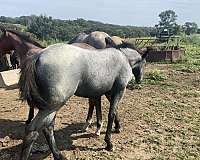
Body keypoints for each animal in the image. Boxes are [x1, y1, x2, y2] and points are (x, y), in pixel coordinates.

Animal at [18, 42, 147, 159]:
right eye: (144, 63)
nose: (140, 79)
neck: (123, 57)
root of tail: (39, 55)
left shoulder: (107, 92)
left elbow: (111, 111)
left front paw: (117, 127)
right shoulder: (119, 90)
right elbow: (111, 113)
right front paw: (109, 143)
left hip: (50, 108)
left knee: (48, 128)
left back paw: (58, 155)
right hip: (51, 107)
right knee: (33, 130)